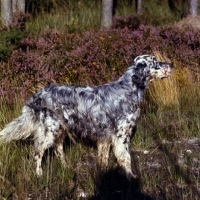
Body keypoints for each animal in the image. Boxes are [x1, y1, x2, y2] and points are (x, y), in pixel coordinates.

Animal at [0, 54, 172, 178]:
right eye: (154, 61)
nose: (171, 64)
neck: (127, 89)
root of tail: (38, 95)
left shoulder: (105, 137)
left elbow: (104, 158)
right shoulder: (121, 135)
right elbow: (126, 158)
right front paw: (130, 176)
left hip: (60, 130)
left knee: (58, 149)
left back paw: (66, 167)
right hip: (49, 131)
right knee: (37, 153)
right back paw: (39, 174)